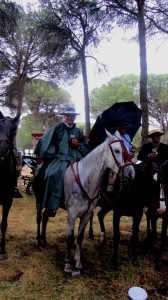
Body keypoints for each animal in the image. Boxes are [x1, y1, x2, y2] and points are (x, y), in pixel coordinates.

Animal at [63, 130, 135, 276]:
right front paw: (67, 266)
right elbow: (69, 238)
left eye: (128, 150)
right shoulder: (71, 216)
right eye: (117, 150)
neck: (85, 180)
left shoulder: (86, 215)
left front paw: (78, 262)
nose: (131, 173)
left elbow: (79, 238)